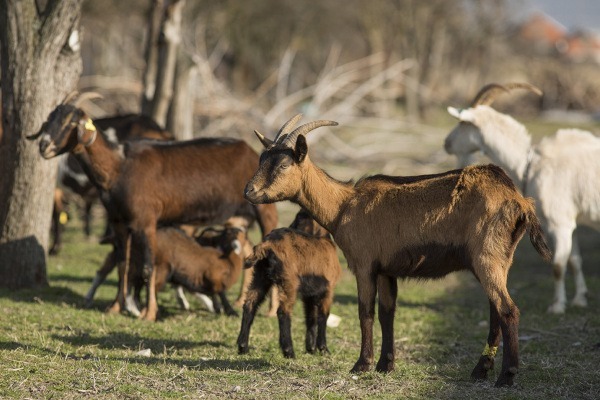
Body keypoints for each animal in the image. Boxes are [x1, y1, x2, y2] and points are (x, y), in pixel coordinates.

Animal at [28, 92, 278, 320]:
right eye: (49, 119)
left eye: (71, 122)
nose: (44, 146)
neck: (119, 167)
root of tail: (250, 151)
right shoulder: (119, 222)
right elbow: (124, 264)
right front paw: (115, 307)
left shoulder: (146, 221)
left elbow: (148, 267)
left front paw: (148, 313)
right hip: (237, 218)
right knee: (245, 248)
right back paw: (239, 302)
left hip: (264, 209)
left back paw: (271, 311)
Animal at [446, 83, 600, 314]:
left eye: (463, 122)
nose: (446, 143)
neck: (529, 163)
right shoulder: (570, 221)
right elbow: (575, 260)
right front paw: (580, 299)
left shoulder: (559, 223)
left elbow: (558, 265)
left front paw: (557, 306)